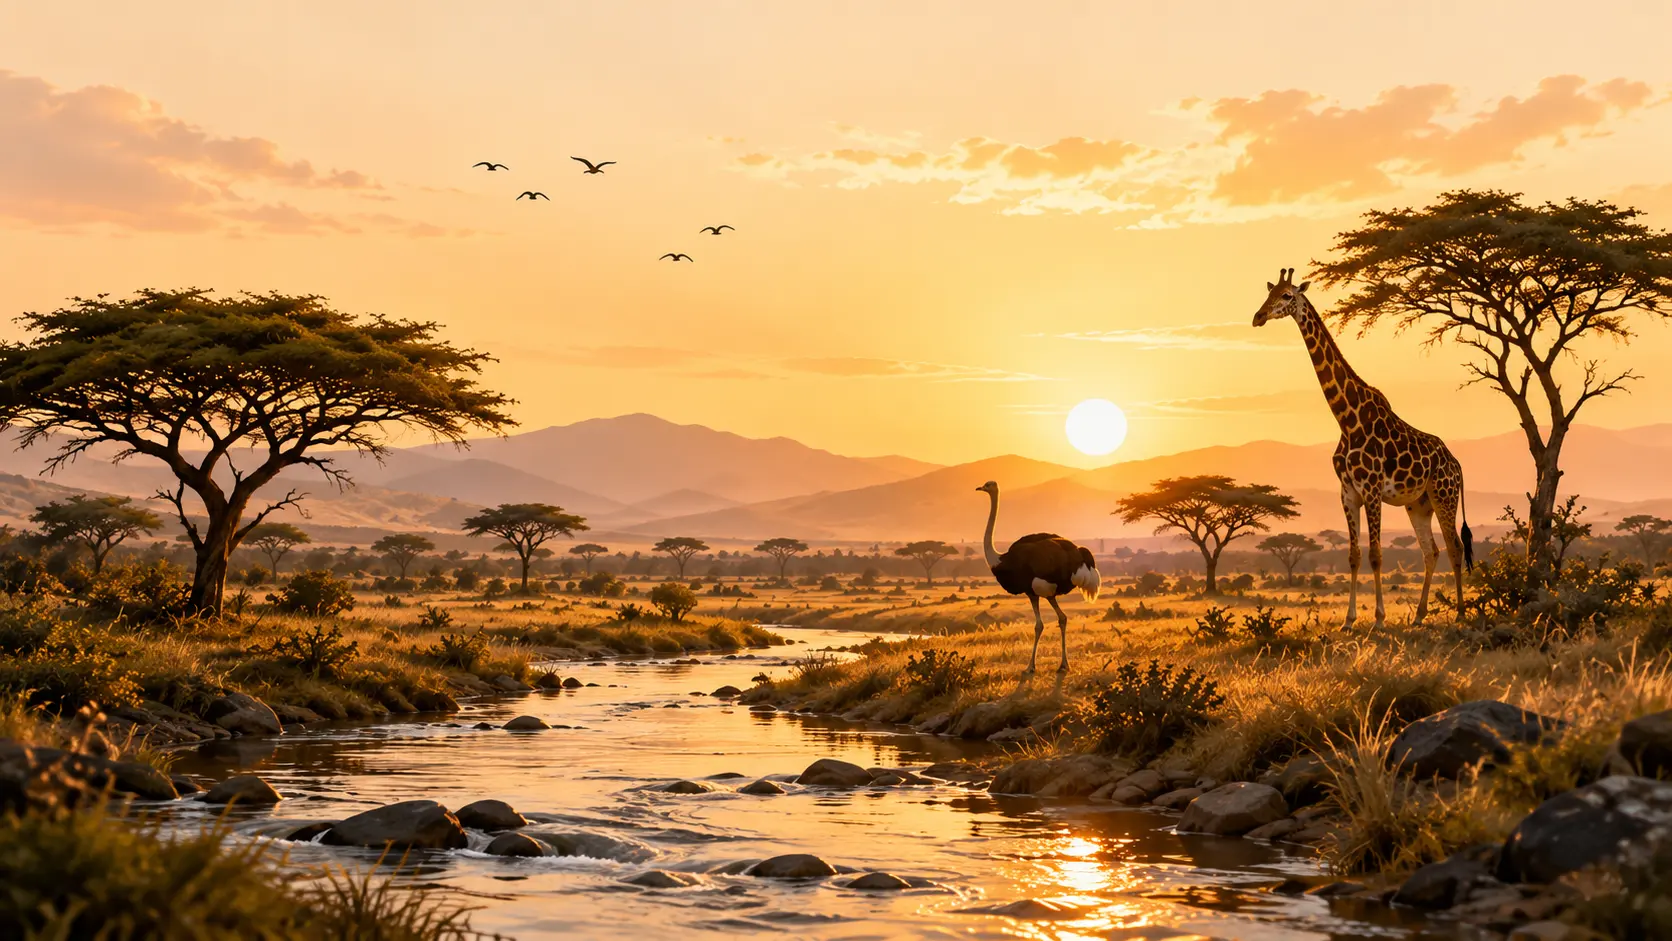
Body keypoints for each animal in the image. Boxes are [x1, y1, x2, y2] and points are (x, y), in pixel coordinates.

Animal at [1252, 268, 1472, 627]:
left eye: (1287, 296)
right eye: (1269, 294)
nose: (1258, 317)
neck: (1346, 418)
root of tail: (1457, 464)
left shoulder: (1371, 489)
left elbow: (1376, 555)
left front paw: (1379, 618)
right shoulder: (1348, 491)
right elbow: (1354, 556)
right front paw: (1349, 619)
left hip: (1444, 495)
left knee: (1454, 547)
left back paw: (1462, 614)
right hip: (1419, 504)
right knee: (1431, 551)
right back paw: (1419, 615)